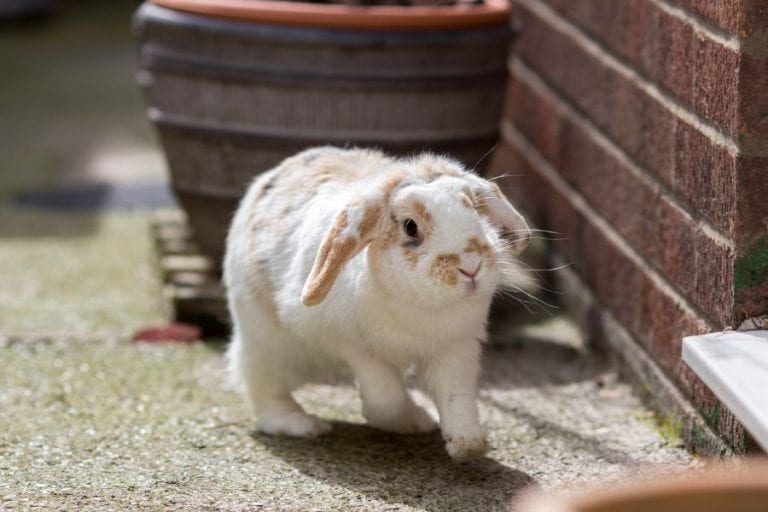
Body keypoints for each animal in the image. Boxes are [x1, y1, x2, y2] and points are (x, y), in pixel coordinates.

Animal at [223, 146, 531, 461]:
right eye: (411, 227)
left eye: (473, 208)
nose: (470, 266)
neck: (422, 308)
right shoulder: (357, 348)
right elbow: (386, 398)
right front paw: (412, 421)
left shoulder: (455, 349)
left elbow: (456, 396)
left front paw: (468, 445)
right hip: (267, 343)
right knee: (263, 387)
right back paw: (301, 424)